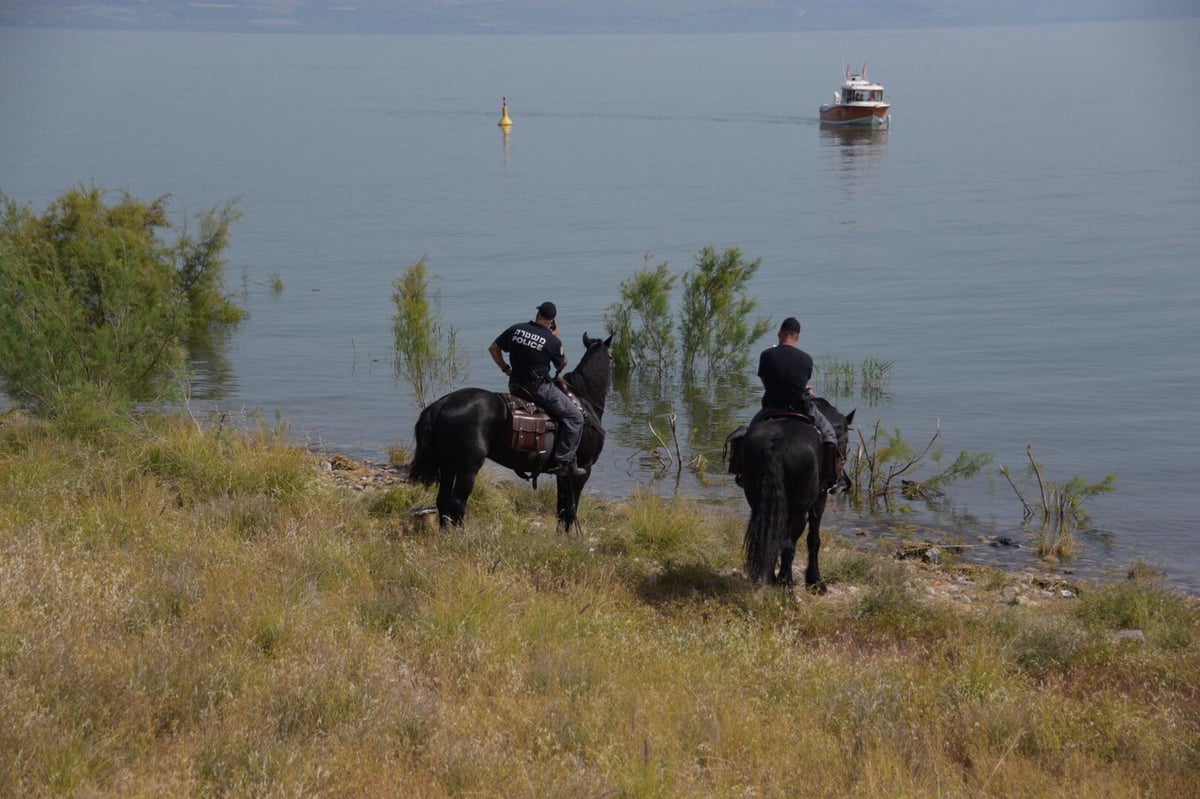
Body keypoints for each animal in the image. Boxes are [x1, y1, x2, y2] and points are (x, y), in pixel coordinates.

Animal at [410, 331, 614, 525]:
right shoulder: (583, 470)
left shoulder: (563, 475)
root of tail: (441, 405)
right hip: (467, 468)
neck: (584, 401)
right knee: (457, 505)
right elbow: (571, 512)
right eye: (612, 357)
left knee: (443, 502)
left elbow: (562, 511)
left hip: (448, 464)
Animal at [739, 398, 854, 590]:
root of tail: (776, 442)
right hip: (799, 510)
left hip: (758, 499)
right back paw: (787, 587)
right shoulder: (820, 498)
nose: (841, 482)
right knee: (788, 545)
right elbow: (813, 539)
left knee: (769, 536)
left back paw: (771, 578)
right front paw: (815, 581)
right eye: (845, 439)